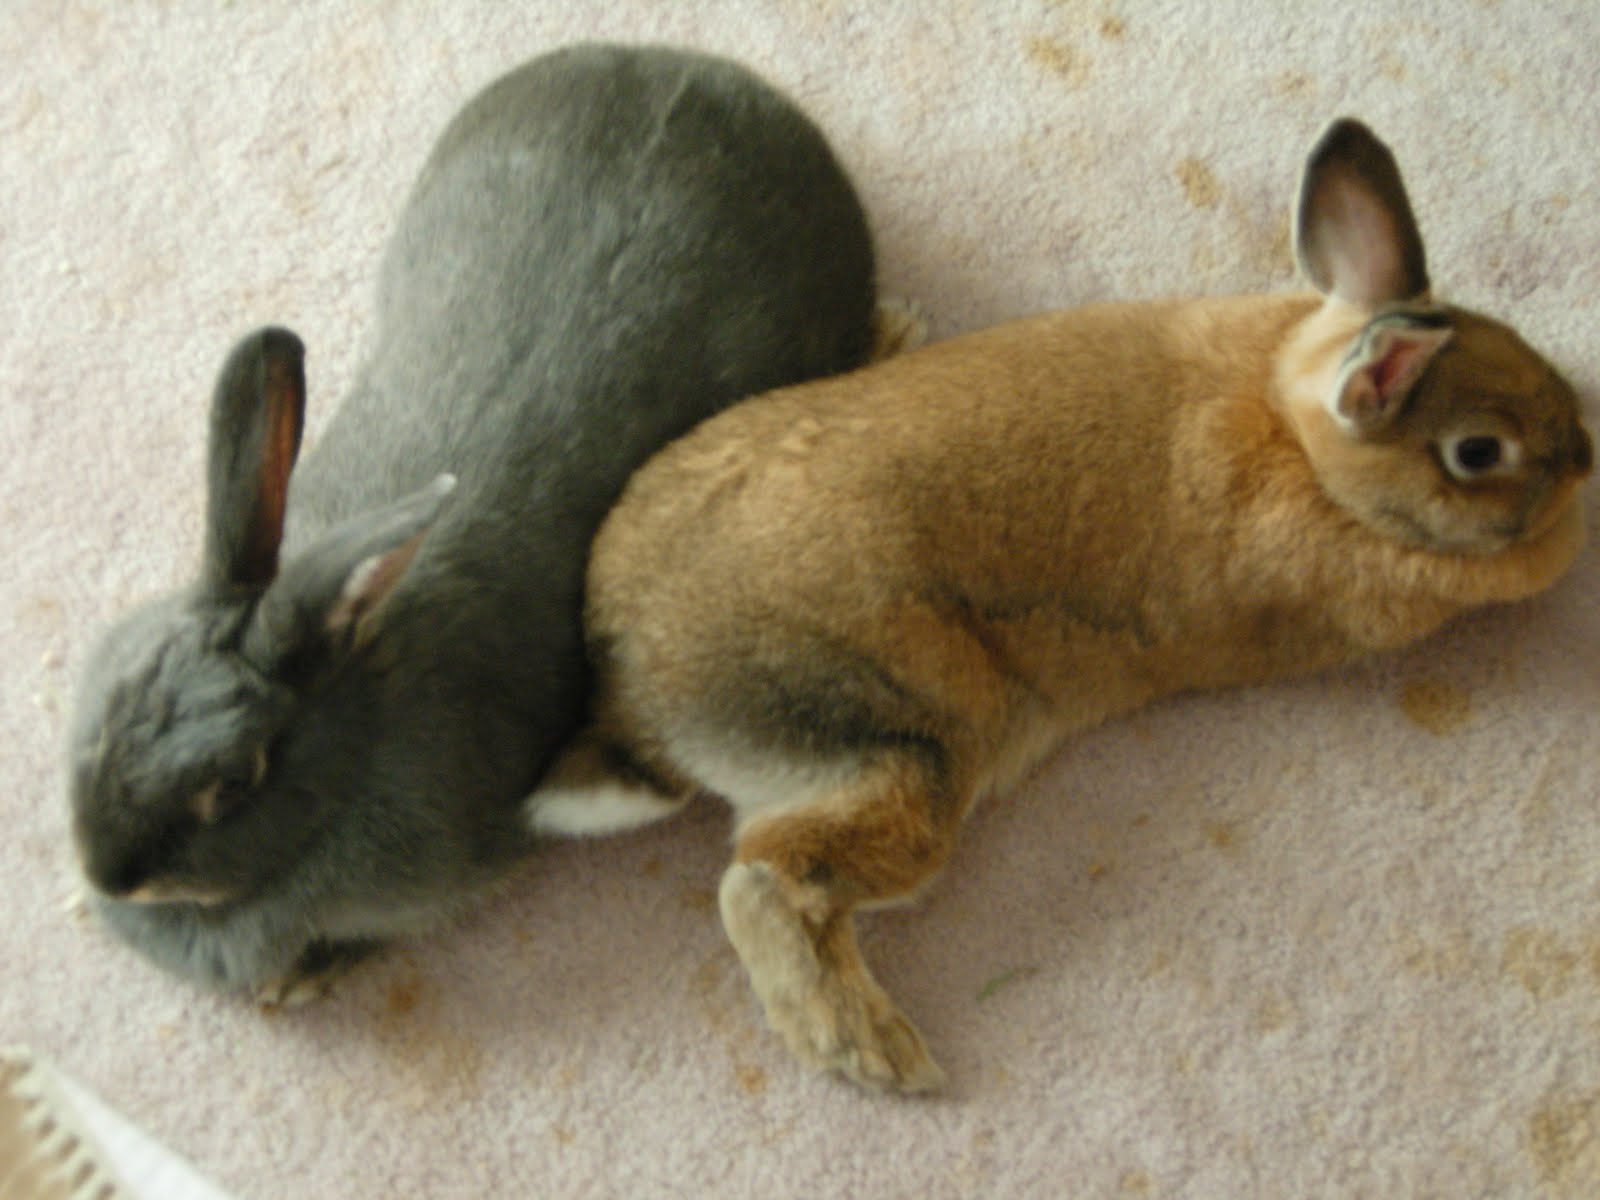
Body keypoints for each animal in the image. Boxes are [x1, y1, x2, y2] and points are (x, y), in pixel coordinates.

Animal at [66, 42, 882, 1003]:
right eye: (118, 690)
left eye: (233, 781)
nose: (107, 874)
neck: (356, 705)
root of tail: (703, 70)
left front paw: (298, 981)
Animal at [526, 118, 1593, 1092]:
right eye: (1479, 454)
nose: (1585, 454)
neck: (1299, 435)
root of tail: (636, 701)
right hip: (906, 751)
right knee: (765, 884)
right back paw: (875, 1052)